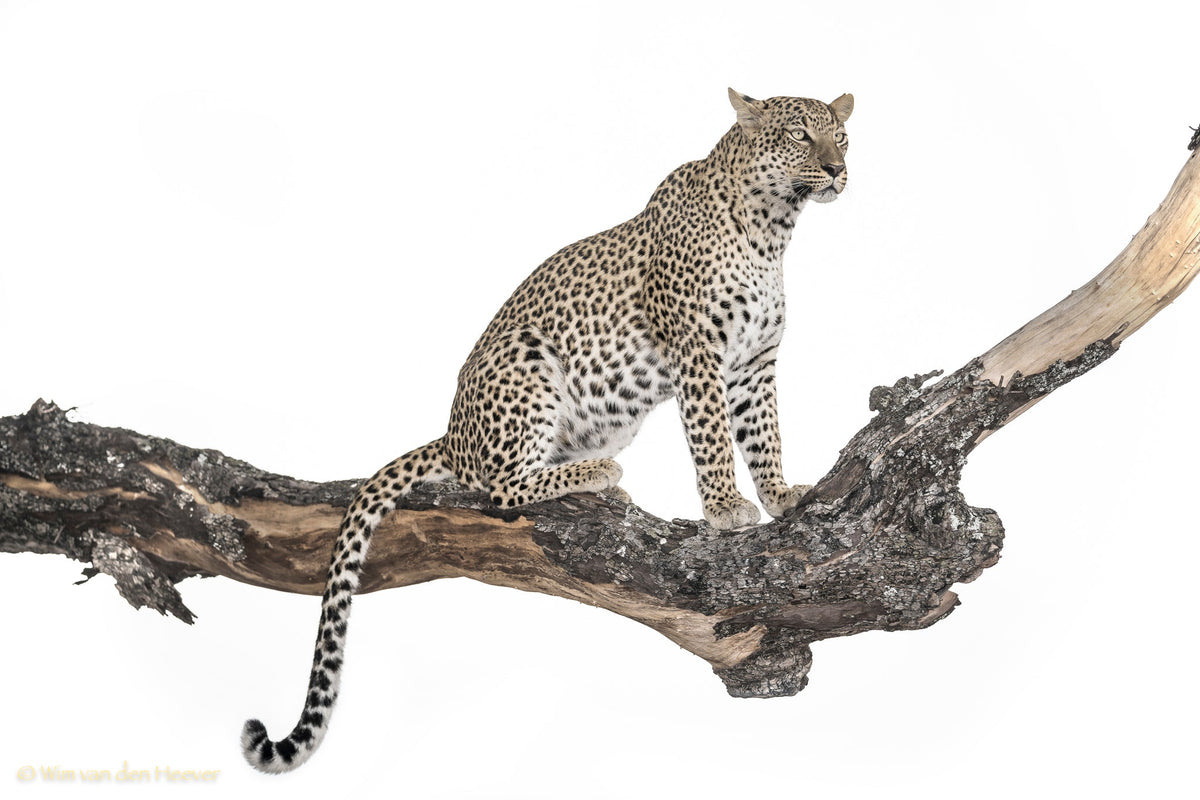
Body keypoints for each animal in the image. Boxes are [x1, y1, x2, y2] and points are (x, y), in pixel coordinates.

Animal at [242, 87, 853, 772]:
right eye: (799, 136)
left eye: (841, 138)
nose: (836, 170)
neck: (773, 230)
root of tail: (451, 434)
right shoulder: (697, 353)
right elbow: (713, 439)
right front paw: (725, 508)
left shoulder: (753, 366)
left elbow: (764, 435)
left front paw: (780, 495)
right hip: (526, 360)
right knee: (502, 487)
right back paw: (598, 474)